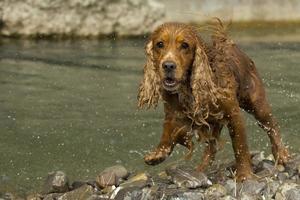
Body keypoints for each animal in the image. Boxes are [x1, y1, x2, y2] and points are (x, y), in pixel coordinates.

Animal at [137, 20, 290, 181]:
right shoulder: (173, 112)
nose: (168, 65)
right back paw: (200, 170)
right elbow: (168, 133)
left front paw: (244, 175)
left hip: (256, 102)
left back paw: (282, 154)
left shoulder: (233, 114)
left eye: (185, 45)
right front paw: (157, 155)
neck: (189, 87)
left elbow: (240, 146)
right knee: (211, 147)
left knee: (272, 125)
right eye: (159, 44)